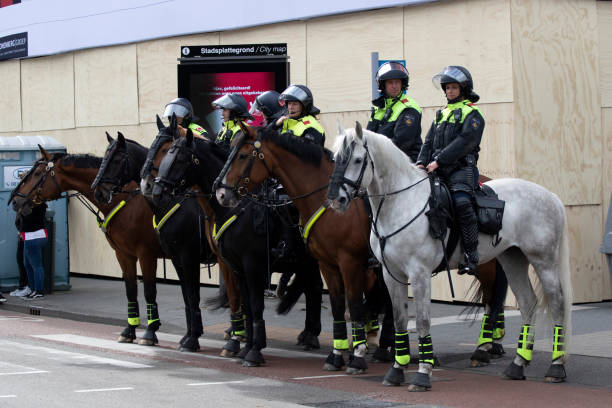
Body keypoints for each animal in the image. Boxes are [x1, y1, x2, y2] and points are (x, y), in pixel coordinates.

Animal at [11, 147, 165, 344]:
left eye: (37, 173)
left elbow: (149, 291)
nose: (16, 200)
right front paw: (129, 330)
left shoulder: (146, 254)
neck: (125, 198)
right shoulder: (124, 254)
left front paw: (150, 331)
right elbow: (131, 290)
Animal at [152, 131, 322, 366]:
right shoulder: (228, 265)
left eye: (179, 159)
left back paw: (312, 336)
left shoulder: (248, 265)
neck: (238, 209)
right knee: (313, 287)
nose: (156, 192)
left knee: (316, 288)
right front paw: (242, 345)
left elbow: (251, 304)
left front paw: (250, 349)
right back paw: (308, 334)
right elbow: (241, 304)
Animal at [215, 124, 512, 376]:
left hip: (484, 264)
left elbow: (356, 305)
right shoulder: (327, 265)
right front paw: (337, 355)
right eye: (229, 151)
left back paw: (483, 348)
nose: (220, 193)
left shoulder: (351, 263)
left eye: (242, 155)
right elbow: (338, 307)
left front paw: (356, 357)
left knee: (491, 300)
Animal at [328, 123, 572, 392]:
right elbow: (401, 320)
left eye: (357, 159)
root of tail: (550, 196)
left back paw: (556, 367)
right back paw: (518, 364)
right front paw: (397, 370)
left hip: (543, 260)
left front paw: (423, 373)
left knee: (557, 304)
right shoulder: (392, 274)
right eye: (335, 159)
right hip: (513, 259)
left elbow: (422, 322)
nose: (336, 199)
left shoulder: (420, 274)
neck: (402, 203)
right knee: (528, 303)